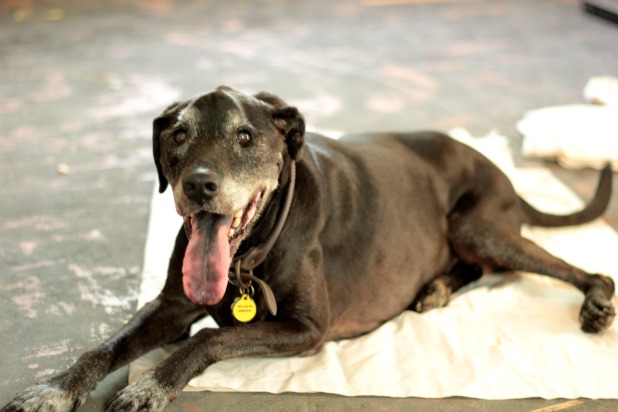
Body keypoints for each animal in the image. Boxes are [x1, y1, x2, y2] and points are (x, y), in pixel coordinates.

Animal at [2, 85, 612, 410]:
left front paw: (152, 383)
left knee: (581, 271)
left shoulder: (308, 329)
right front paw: (52, 389)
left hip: (477, 225)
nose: (197, 185)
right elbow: (105, 347)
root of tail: (502, 172)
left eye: (245, 137)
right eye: (177, 135)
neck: (249, 255)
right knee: (474, 268)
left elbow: (209, 340)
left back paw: (596, 303)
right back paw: (436, 288)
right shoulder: (172, 305)